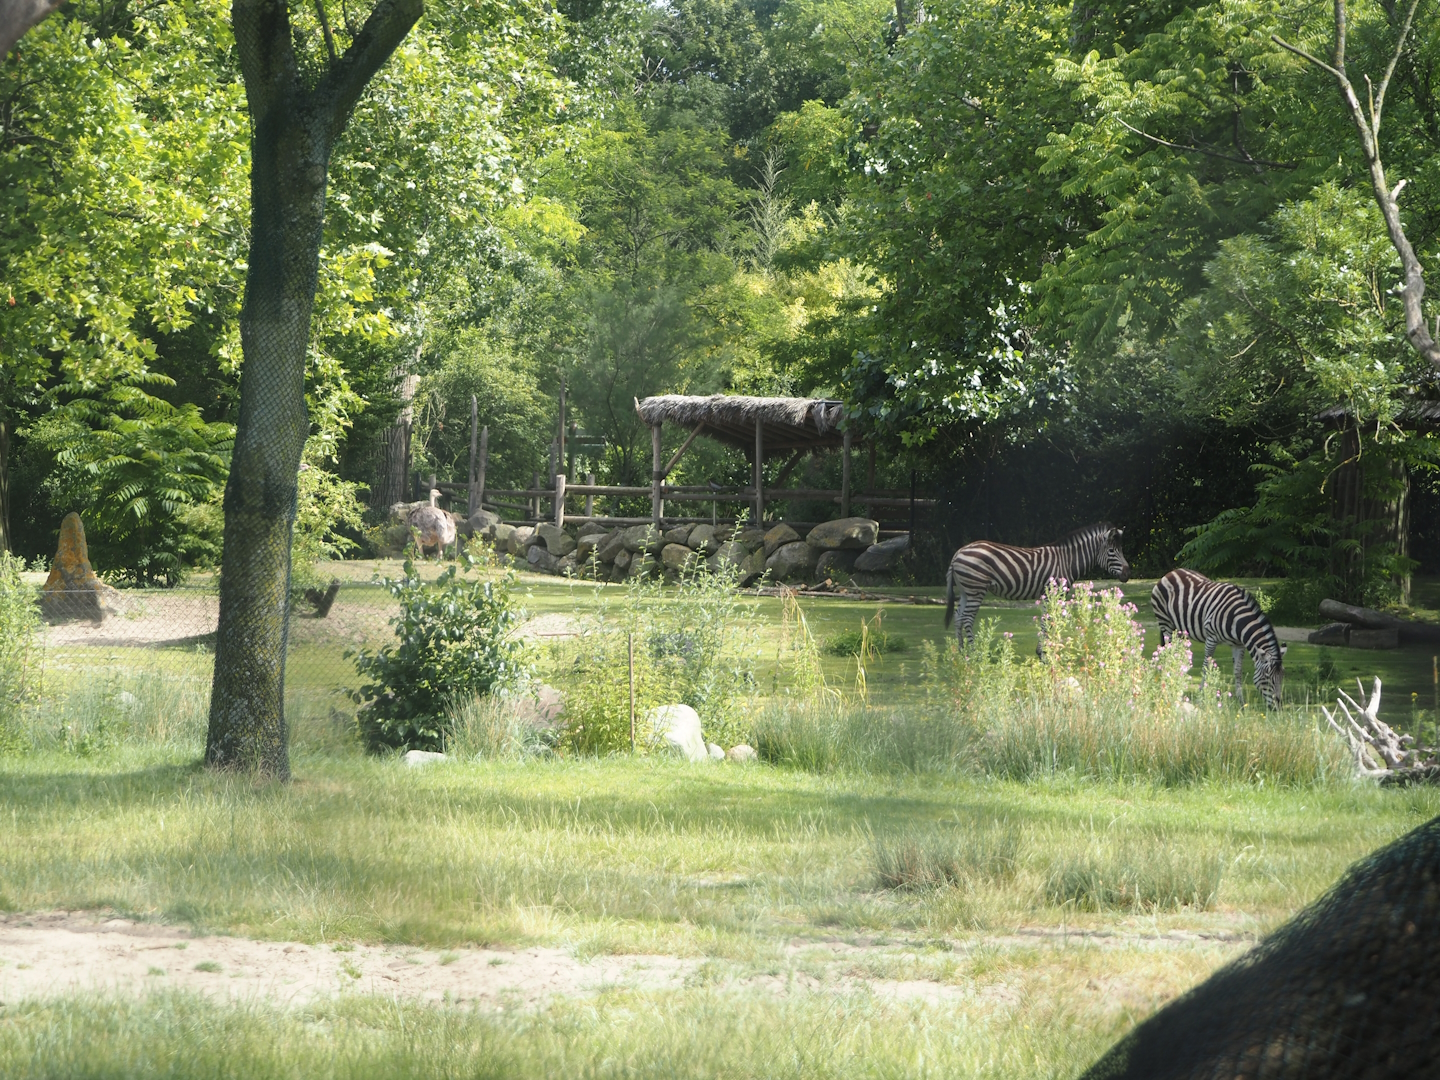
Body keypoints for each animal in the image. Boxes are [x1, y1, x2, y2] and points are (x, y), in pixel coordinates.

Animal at [944, 523, 1131, 646]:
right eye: (1112, 551)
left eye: (1121, 550)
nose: (1128, 573)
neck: (1067, 561)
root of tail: (958, 553)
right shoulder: (1053, 592)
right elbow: (1048, 621)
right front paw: (1046, 654)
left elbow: (1047, 621)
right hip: (976, 590)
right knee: (967, 619)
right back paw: (973, 653)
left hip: (965, 591)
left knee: (958, 617)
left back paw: (962, 653)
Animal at [1150, 568, 1286, 708]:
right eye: (1267, 679)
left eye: (1282, 677)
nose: (1278, 708)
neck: (1236, 620)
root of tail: (1171, 572)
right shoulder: (1211, 638)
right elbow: (1206, 667)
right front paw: (1200, 698)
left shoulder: (1238, 645)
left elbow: (1238, 671)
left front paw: (1241, 703)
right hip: (1166, 624)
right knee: (1168, 653)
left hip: (1180, 631)